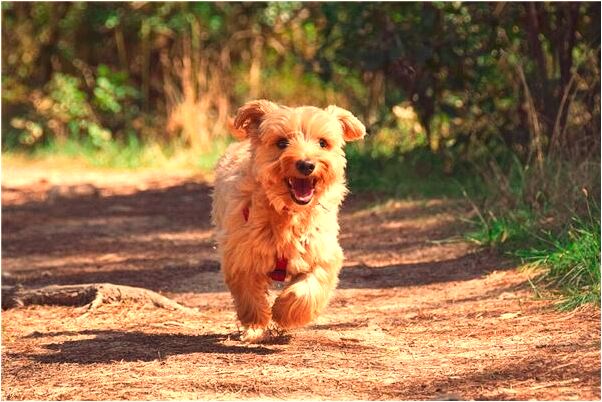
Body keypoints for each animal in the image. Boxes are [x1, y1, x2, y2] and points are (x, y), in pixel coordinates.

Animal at [211, 99, 364, 340]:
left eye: (323, 143)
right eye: (281, 142)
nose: (306, 164)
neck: (288, 214)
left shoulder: (323, 254)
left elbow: (307, 289)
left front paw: (284, 312)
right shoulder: (241, 254)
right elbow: (249, 294)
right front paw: (256, 322)